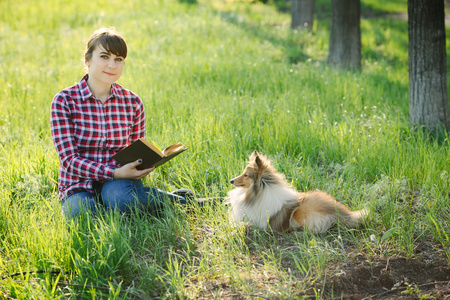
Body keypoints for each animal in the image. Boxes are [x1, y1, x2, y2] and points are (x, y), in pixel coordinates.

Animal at [227, 151, 368, 233]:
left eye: (246, 175)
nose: (231, 181)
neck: (257, 193)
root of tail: (346, 215)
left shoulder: (259, 223)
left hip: (300, 211)